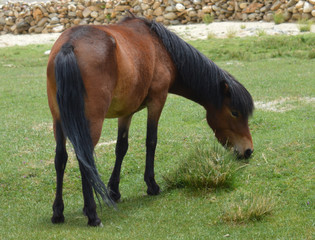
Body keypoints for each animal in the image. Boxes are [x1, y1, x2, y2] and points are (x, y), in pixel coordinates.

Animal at [46, 15, 254, 227]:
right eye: (235, 113)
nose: (248, 150)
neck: (162, 48)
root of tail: (69, 45)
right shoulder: (157, 101)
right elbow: (151, 141)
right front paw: (152, 185)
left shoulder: (126, 112)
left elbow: (121, 147)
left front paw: (114, 191)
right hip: (91, 122)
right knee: (84, 159)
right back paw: (92, 214)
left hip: (59, 121)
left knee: (61, 158)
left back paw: (58, 212)